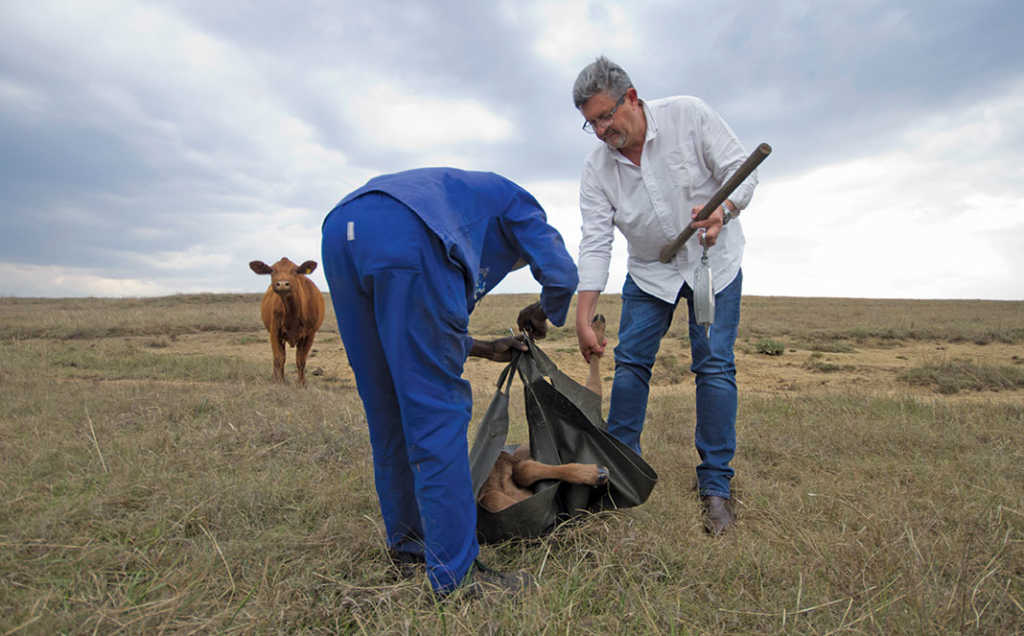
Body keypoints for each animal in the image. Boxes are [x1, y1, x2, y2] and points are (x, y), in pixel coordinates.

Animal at [250, 255, 325, 385]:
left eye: (295, 271)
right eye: (272, 270)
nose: (282, 284)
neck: (292, 315)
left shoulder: (310, 335)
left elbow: (301, 360)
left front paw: (301, 384)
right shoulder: (275, 332)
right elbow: (279, 358)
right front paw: (279, 382)